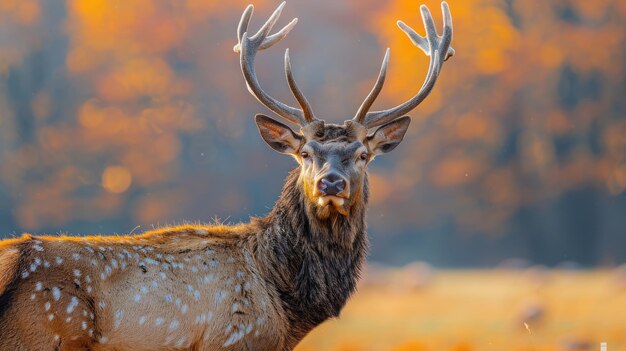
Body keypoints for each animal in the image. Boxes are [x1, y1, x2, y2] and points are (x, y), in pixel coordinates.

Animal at [0, 1, 450, 350]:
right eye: (305, 153)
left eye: (362, 155)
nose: (331, 182)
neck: (285, 308)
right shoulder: (235, 339)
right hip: (39, 335)